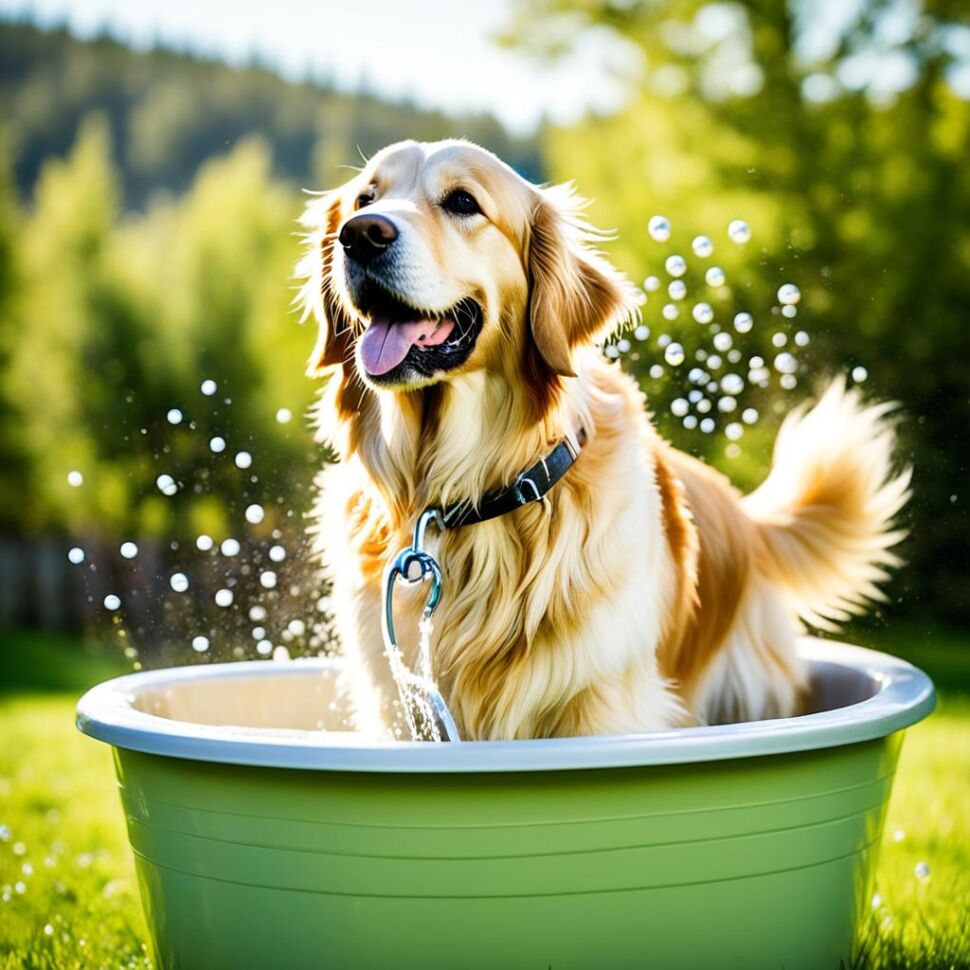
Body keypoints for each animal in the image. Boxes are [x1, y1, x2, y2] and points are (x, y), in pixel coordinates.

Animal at [296, 138, 908, 740]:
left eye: (463, 202)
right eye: (364, 199)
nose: (361, 234)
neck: (468, 494)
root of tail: (740, 512)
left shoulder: (603, 702)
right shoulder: (401, 710)